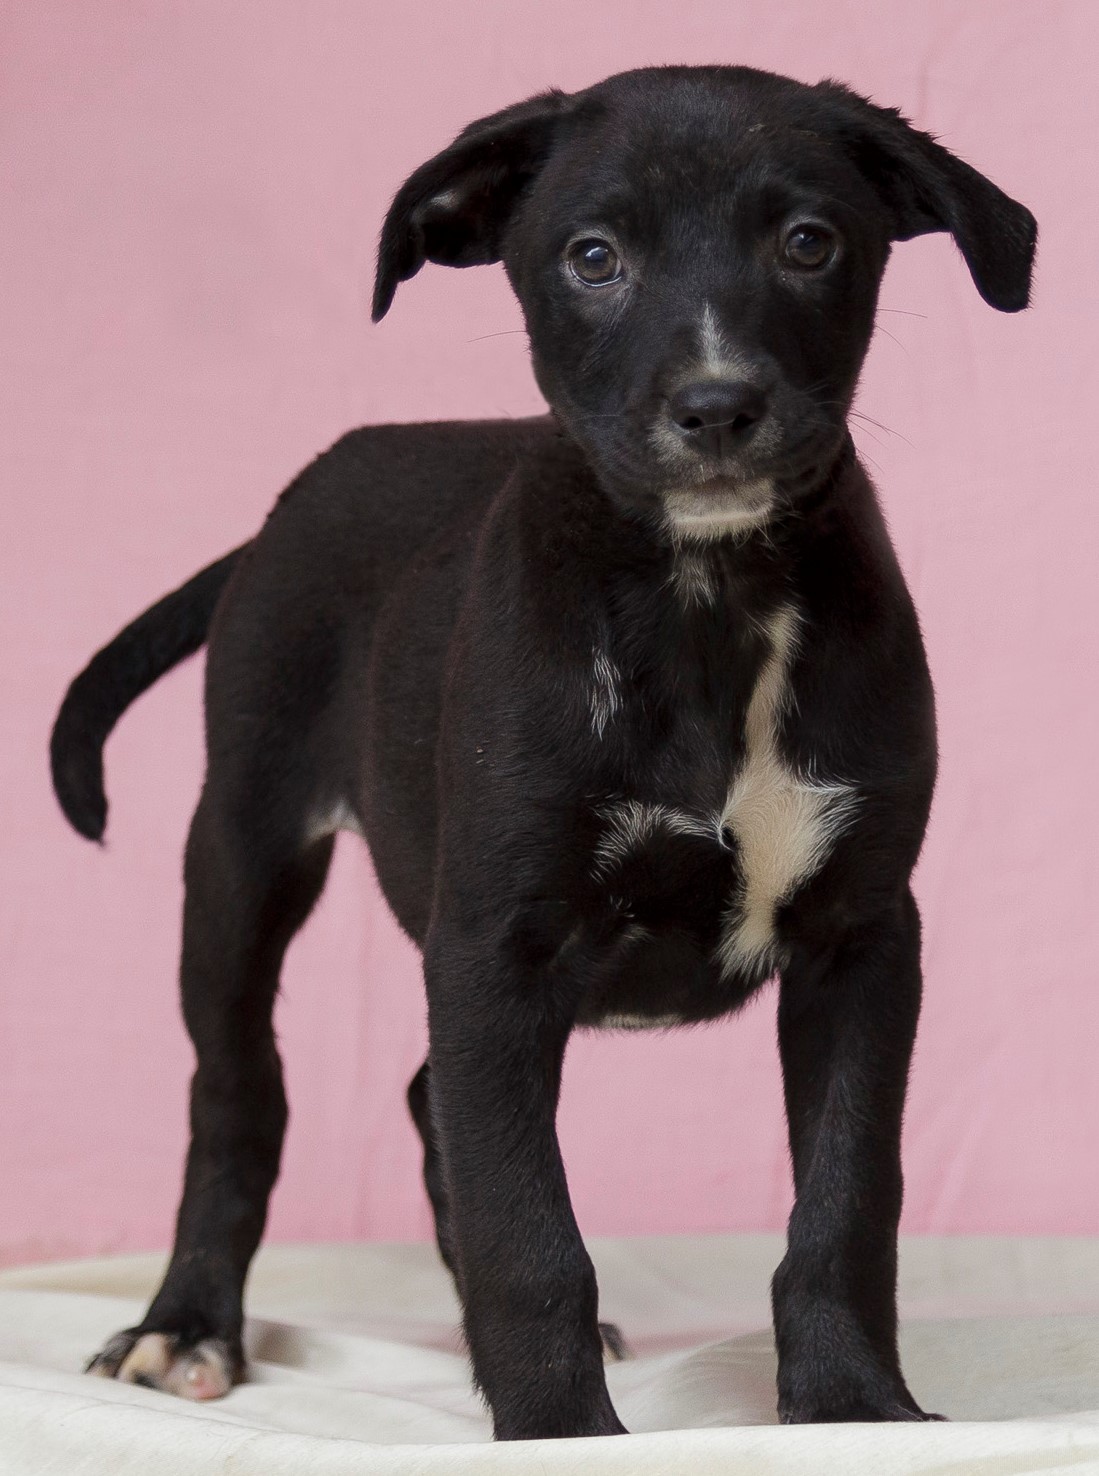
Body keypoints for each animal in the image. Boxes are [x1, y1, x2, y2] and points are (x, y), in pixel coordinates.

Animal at [49, 63, 1026, 1434]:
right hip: (240, 850)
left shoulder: (864, 937)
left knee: (425, 1098)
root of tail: (295, 498)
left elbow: (845, 1200)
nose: (717, 407)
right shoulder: (492, 946)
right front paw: (559, 1429)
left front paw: (850, 1408)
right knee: (238, 1096)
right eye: (593, 256)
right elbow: (528, 1226)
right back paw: (184, 1326)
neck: (703, 601)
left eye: (808, 242)